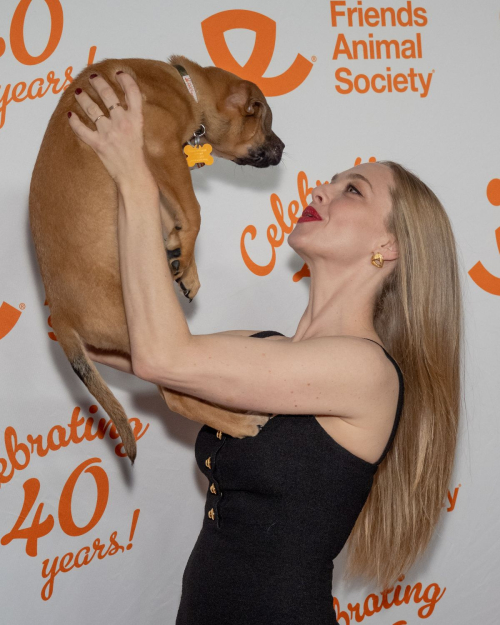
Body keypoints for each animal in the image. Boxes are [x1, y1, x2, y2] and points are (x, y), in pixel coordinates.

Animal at [29, 54, 284, 464]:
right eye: (264, 122)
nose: (283, 148)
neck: (184, 84)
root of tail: (61, 317)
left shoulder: (159, 172)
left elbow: (173, 214)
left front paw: (183, 260)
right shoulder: (162, 148)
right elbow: (194, 210)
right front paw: (185, 253)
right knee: (177, 399)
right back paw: (239, 423)